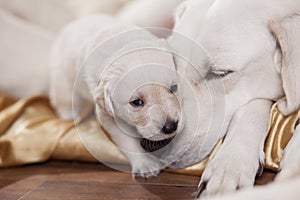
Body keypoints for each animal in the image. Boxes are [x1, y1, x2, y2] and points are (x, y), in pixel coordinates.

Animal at [49, 15, 183, 178]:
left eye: (174, 88)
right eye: (136, 102)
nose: (171, 127)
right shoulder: (108, 115)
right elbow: (127, 141)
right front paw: (145, 164)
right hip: (63, 80)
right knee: (65, 100)